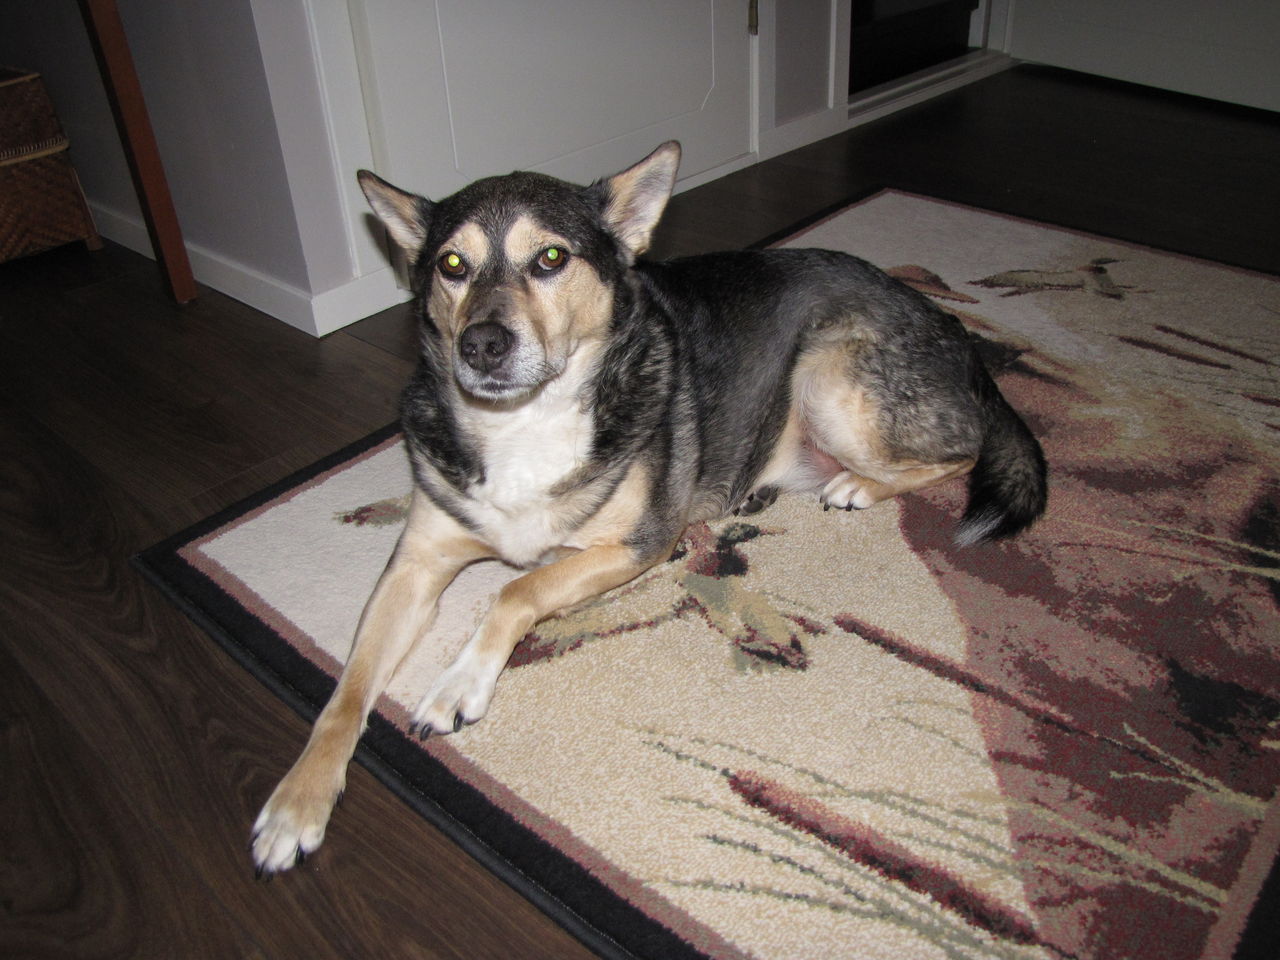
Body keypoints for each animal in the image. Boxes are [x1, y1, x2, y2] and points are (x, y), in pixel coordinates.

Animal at [250, 141, 1046, 874]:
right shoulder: (415, 564)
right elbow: (345, 692)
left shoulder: (641, 543)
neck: (523, 424)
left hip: (832, 379)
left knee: (963, 451)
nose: (482, 345)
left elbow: (516, 590)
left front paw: (457, 685)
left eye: (550, 258)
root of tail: (952, 330)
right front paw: (297, 801)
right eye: (451, 265)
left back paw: (858, 484)